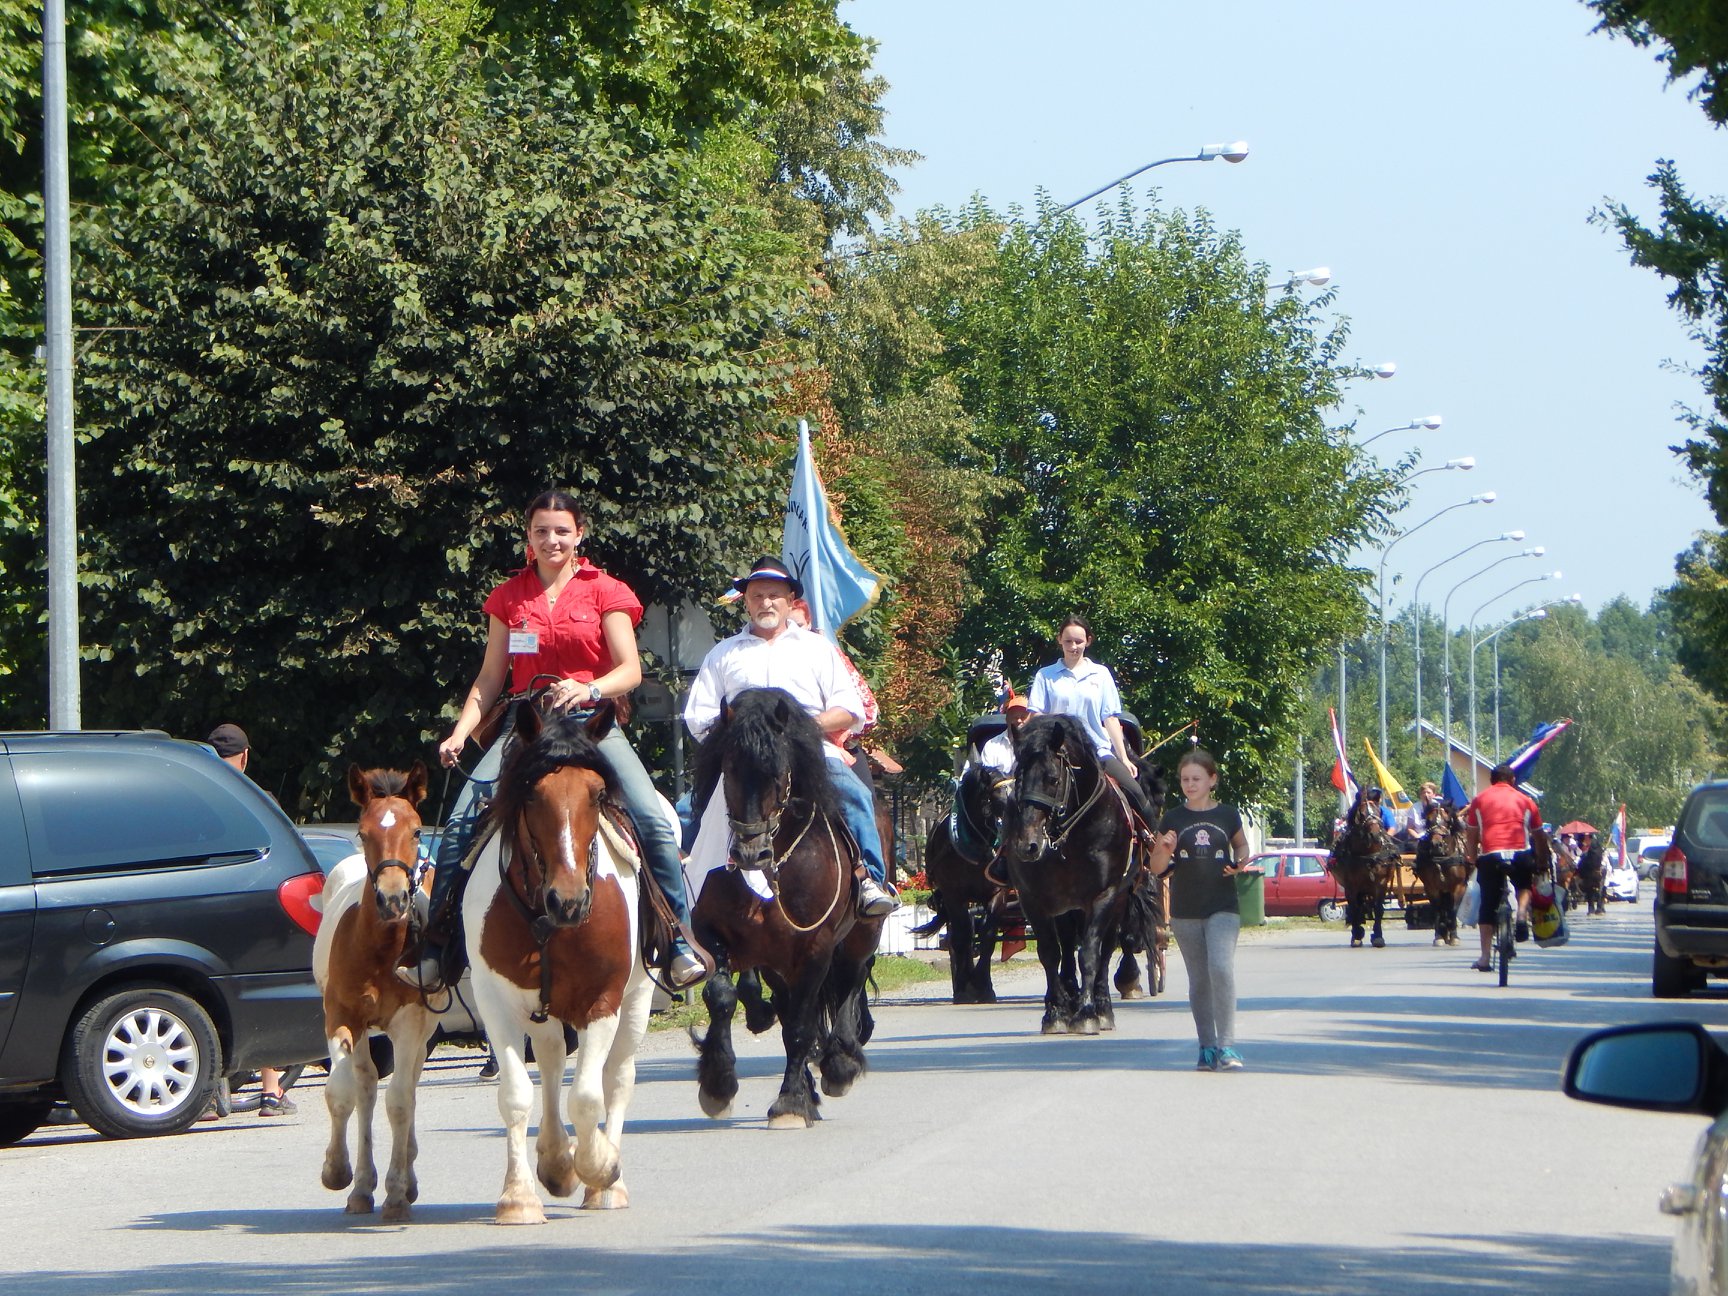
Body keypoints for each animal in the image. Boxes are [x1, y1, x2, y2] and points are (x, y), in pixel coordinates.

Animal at [317, 760, 438, 1216]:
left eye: (417, 831)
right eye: (363, 831)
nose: (393, 899)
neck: (379, 950)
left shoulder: (410, 1022)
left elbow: (400, 1102)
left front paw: (398, 1191)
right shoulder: (341, 1017)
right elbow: (342, 1092)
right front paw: (337, 1172)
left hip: (424, 1029)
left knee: (409, 1087)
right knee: (367, 1087)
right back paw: (362, 1187)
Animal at [463, 705, 656, 1223]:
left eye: (597, 794)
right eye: (533, 793)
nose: (568, 901)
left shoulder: (602, 1001)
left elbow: (588, 1098)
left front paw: (600, 1166)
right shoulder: (495, 1001)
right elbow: (516, 1095)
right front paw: (519, 1197)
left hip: (636, 1001)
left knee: (617, 1079)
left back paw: (606, 1183)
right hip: (542, 1009)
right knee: (550, 1061)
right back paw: (555, 1160)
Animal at [1002, 715, 1133, 1043]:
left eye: (1052, 778)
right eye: (1017, 777)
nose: (1027, 845)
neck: (1071, 837)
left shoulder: (1103, 896)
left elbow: (1090, 954)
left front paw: (1087, 1014)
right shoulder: (1034, 901)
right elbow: (1050, 953)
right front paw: (1056, 1013)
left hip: (1118, 902)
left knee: (1105, 950)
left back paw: (1102, 1008)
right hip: (1066, 908)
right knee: (1066, 952)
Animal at [1320, 787, 1403, 946]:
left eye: (1378, 811)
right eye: (1362, 813)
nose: (1375, 834)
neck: (1368, 854)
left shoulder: (1381, 883)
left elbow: (1378, 909)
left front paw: (1378, 936)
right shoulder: (1352, 885)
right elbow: (1354, 908)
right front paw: (1357, 934)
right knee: (1356, 907)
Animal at [1416, 808, 1472, 946]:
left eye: (1447, 821)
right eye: (1429, 820)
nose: (1436, 845)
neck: (1442, 859)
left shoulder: (1459, 886)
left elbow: (1453, 909)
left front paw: (1454, 936)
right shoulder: (1431, 888)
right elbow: (1437, 910)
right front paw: (1439, 937)